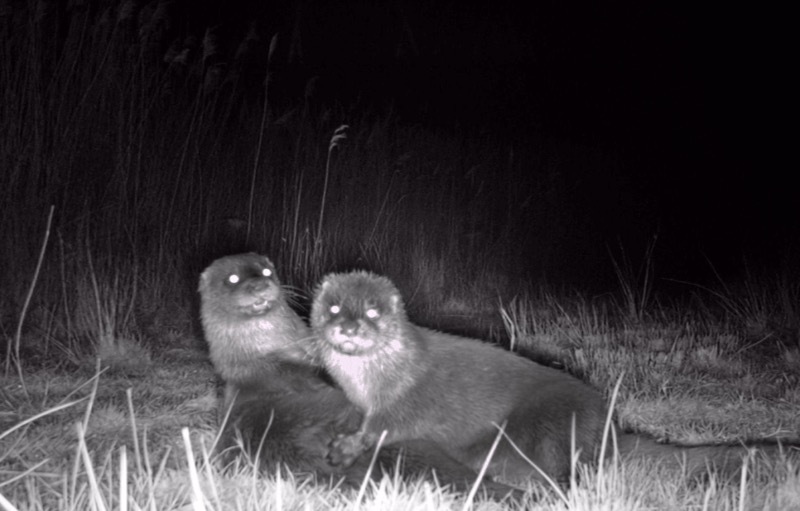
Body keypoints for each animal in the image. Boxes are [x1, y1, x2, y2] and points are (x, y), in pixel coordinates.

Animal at [310, 270, 799, 484]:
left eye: (372, 311)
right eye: (333, 308)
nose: (349, 327)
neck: (373, 382)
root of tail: (608, 428)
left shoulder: (415, 395)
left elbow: (391, 424)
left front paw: (346, 446)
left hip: (551, 421)